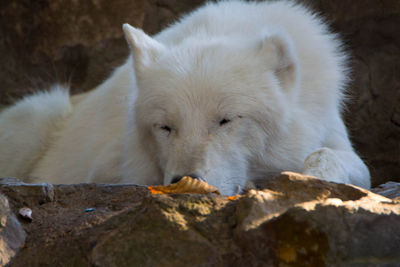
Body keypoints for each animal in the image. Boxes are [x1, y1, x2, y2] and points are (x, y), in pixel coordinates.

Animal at [0, 1, 368, 196]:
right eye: (165, 127)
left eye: (225, 120)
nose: (185, 182)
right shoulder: (109, 166)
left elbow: (334, 157)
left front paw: (314, 174)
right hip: (41, 113)